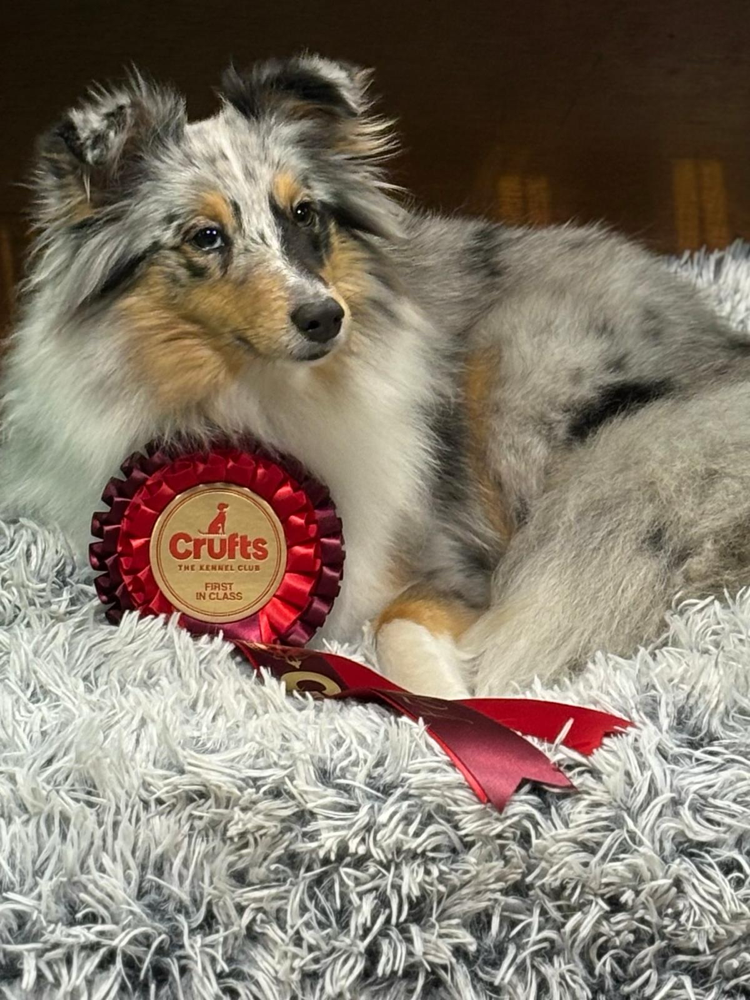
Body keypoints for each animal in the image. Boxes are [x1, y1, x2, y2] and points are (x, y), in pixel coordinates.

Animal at [1, 54, 750, 696]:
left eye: (304, 213)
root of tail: (720, 350)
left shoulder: (451, 560)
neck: (253, 396)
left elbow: (399, 623)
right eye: (205, 236)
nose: (324, 318)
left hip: (524, 381)